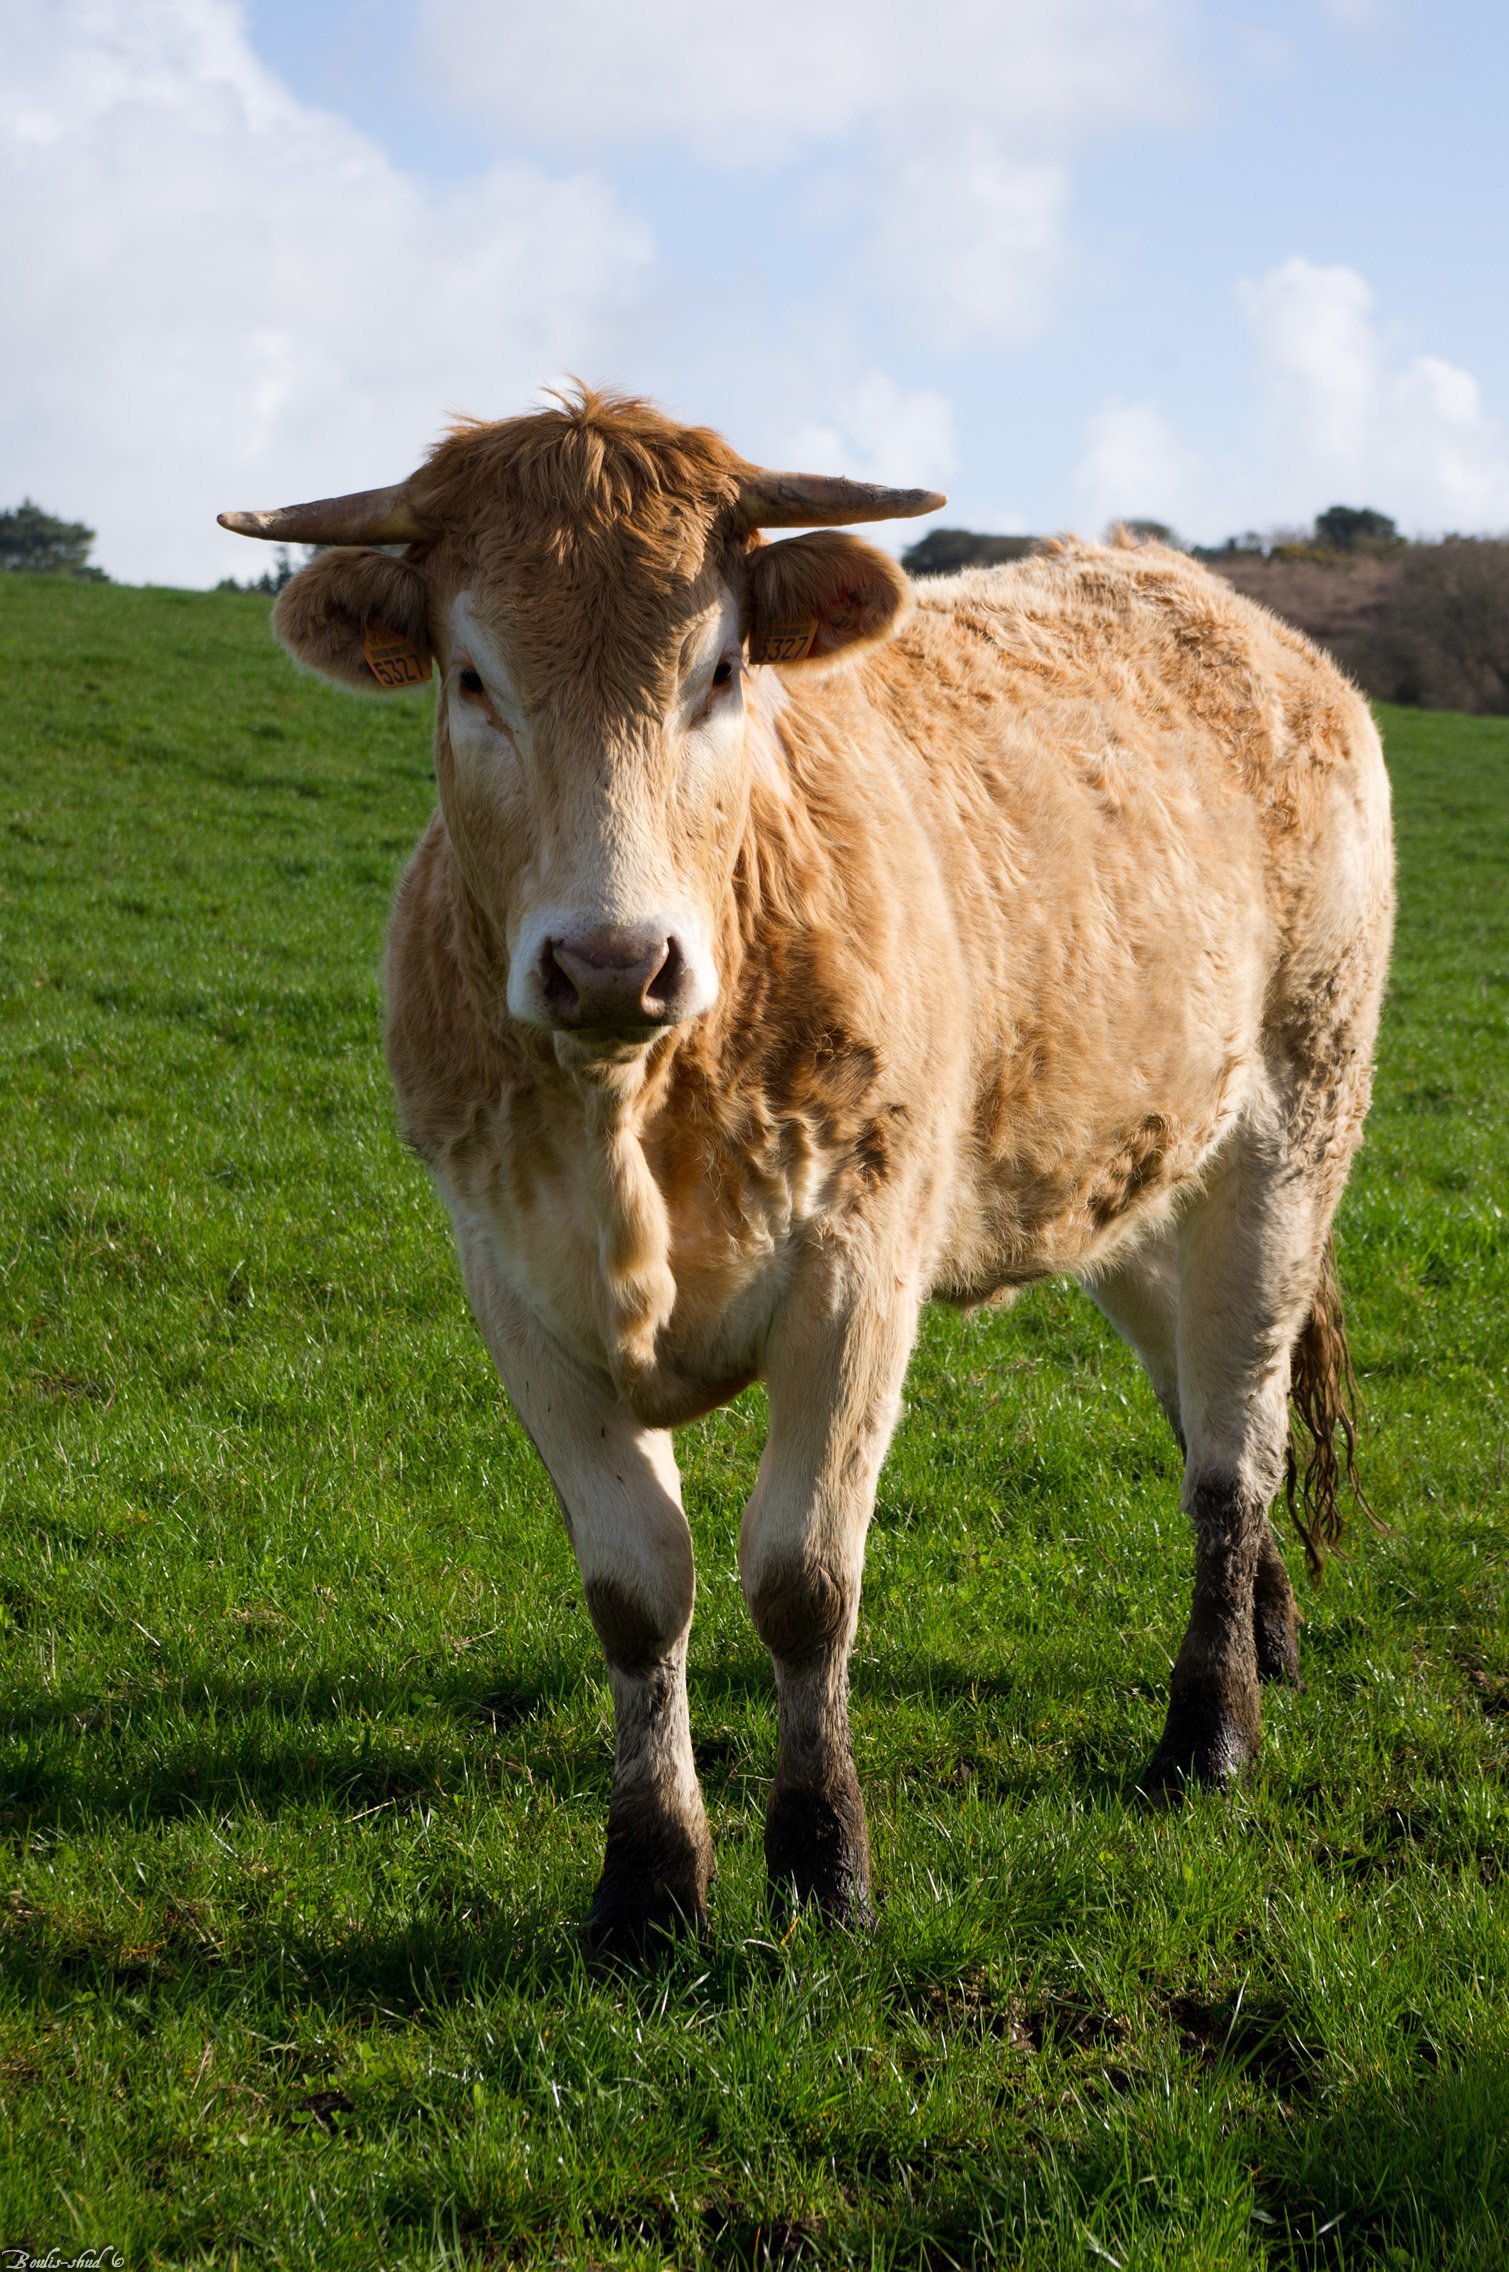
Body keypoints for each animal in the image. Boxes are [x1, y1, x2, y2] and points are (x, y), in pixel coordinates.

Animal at [221, 390, 1390, 1953]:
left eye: (719, 670)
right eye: (472, 679)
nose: (612, 961)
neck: (636, 1117)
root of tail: (1202, 596)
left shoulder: (857, 1272)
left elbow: (801, 1582)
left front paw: (823, 1862)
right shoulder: (513, 1288)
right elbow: (635, 1591)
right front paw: (650, 1886)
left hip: (1292, 1134)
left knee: (1233, 1449)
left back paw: (1210, 1732)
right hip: (1142, 1185)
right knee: (1210, 1404)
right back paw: (1268, 1637)